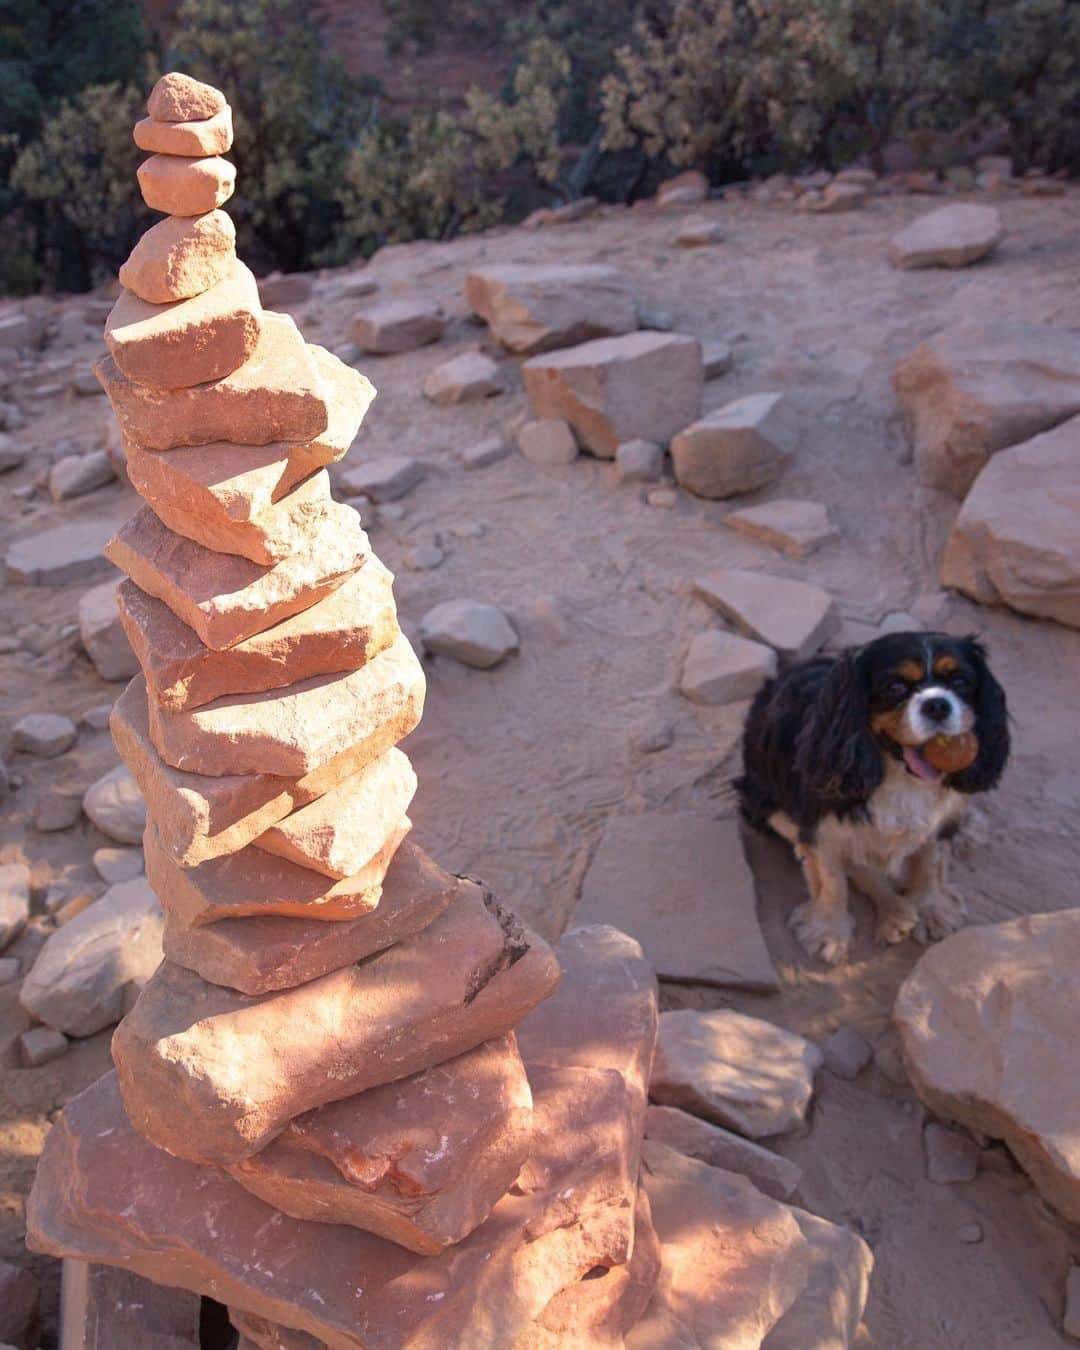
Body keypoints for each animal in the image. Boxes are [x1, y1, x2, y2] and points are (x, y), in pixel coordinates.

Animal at [739, 629, 1009, 961]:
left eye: (960, 682)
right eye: (895, 687)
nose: (937, 705)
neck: (900, 775)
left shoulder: (939, 821)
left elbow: (930, 861)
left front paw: (932, 909)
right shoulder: (819, 825)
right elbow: (833, 881)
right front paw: (829, 932)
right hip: (766, 803)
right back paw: (893, 913)